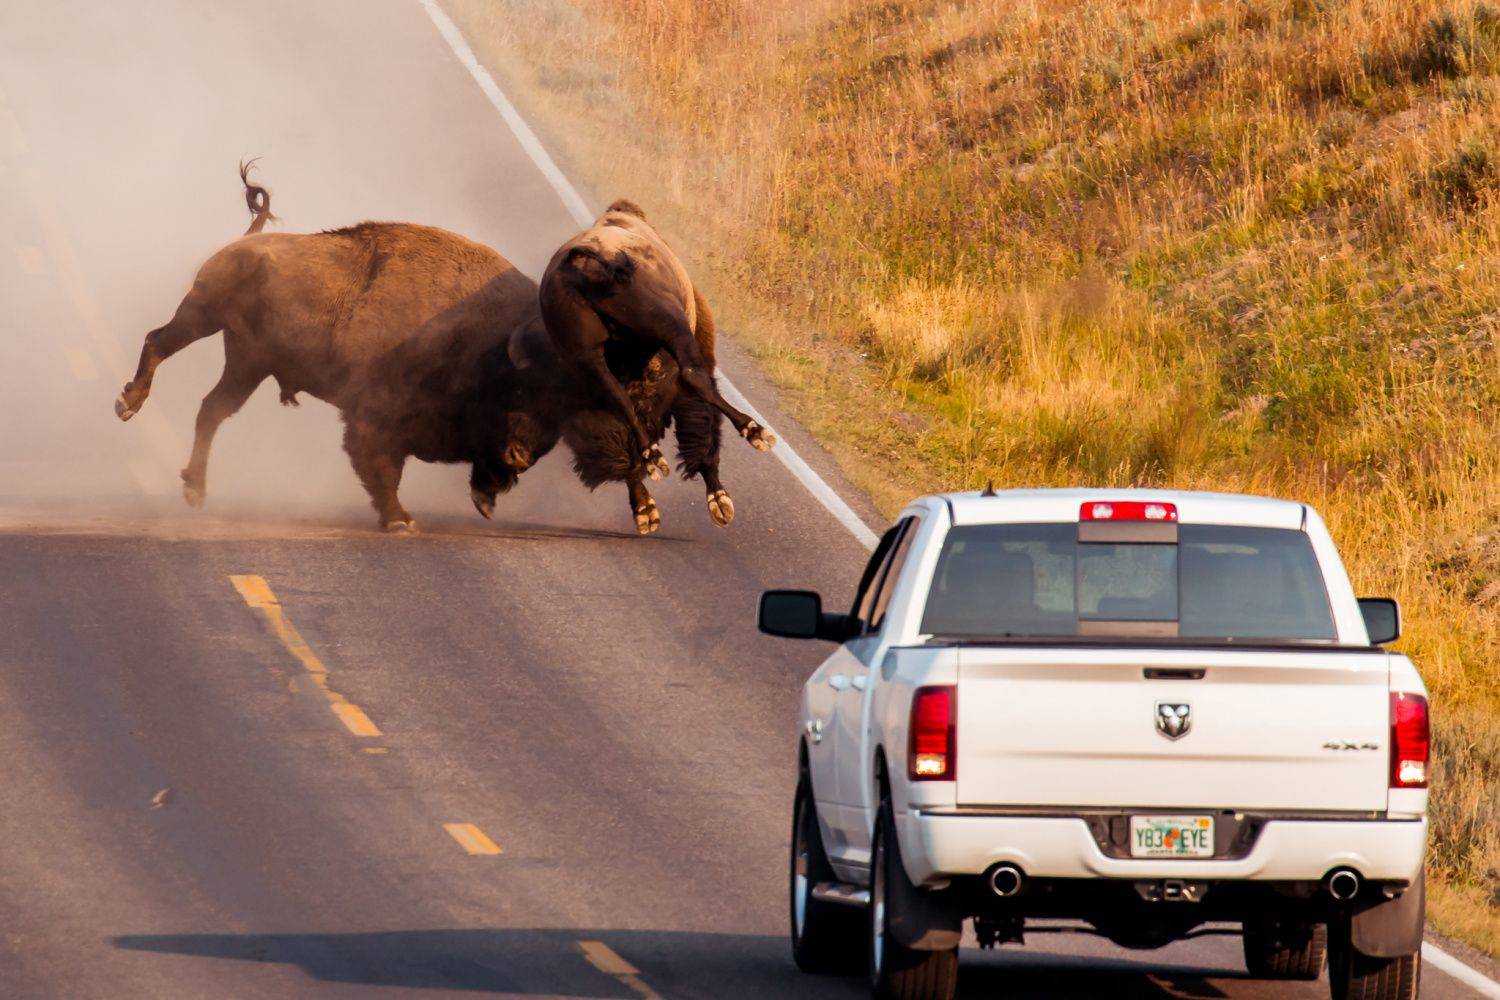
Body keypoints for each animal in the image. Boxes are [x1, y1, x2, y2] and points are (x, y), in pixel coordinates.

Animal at [112, 162, 546, 530]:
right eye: (515, 391)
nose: (520, 456)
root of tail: (246, 241)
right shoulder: (376, 418)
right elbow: (379, 465)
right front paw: (400, 520)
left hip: (247, 363)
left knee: (211, 407)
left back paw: (195, 489)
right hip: (203, 316)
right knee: (158, 343)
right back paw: (128, 405)